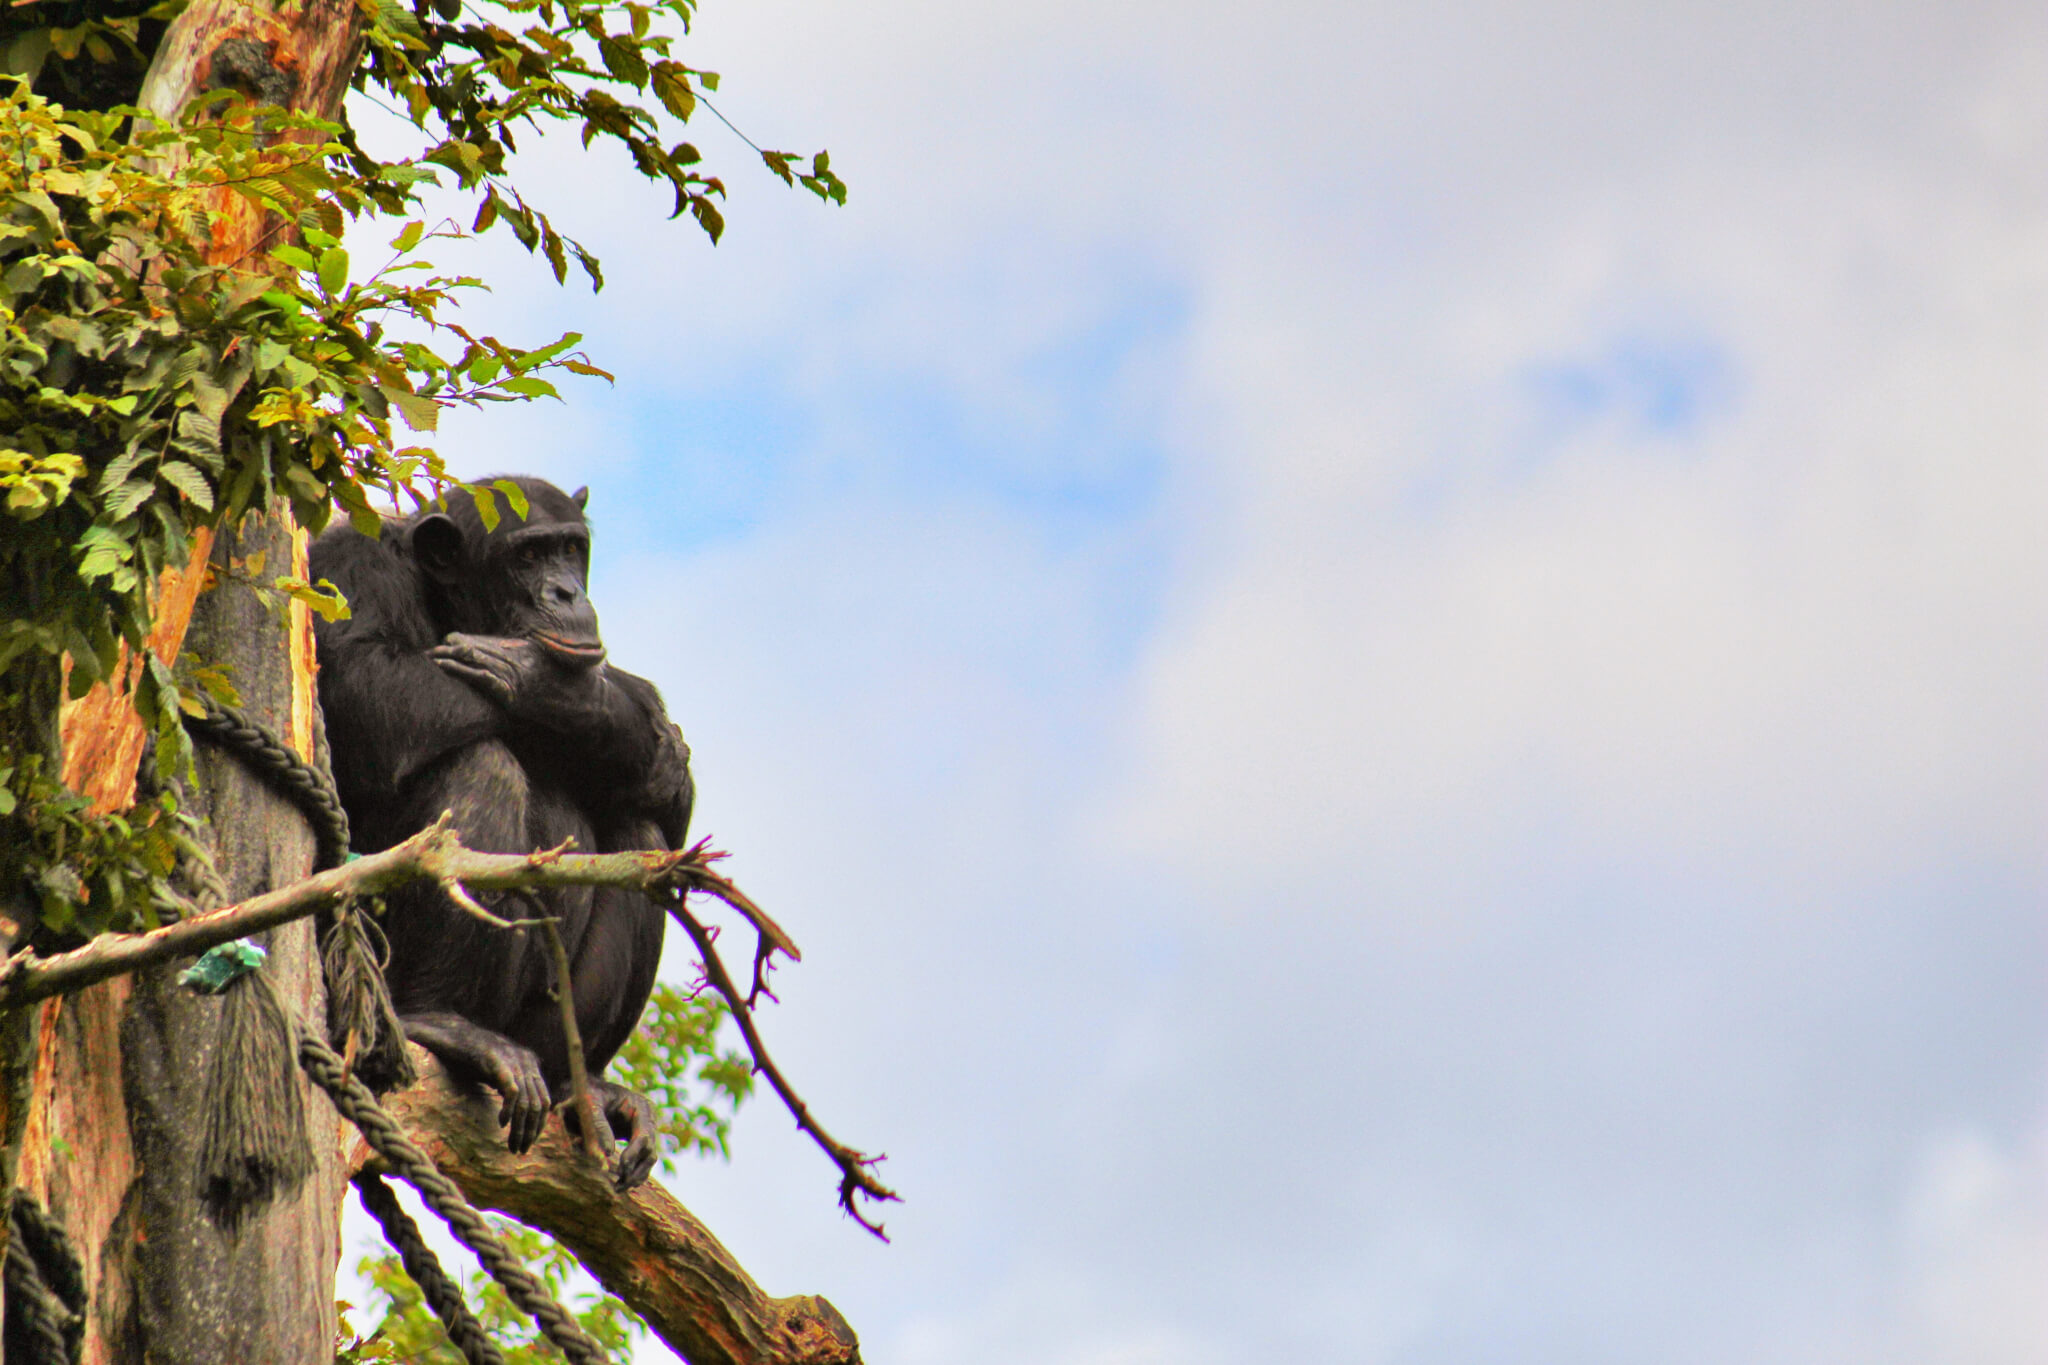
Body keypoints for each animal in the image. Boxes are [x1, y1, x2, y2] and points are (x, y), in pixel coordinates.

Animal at [311, 474, 692, 1186]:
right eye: (528, 556)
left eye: (570, 549)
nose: (566, 593)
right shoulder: (344, 564)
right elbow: (372, 686)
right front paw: (550, 685)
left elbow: (670, 797)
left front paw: (581, 698)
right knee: (481, 764)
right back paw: (439, 1020)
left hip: (544, 1032)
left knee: (642, 832)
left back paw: (588, 1088)